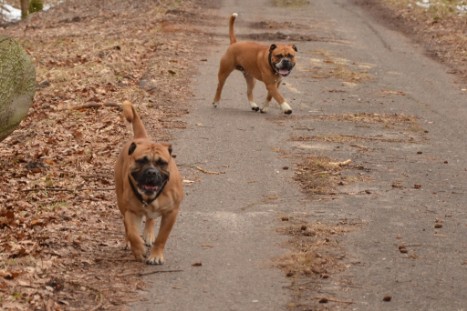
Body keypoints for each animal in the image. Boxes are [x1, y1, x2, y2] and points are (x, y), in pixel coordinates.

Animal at [115, 102, 185, 266]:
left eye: (162, 163)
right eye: (141, 161)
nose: (151, 172)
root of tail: (141, 137)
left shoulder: (171, 213)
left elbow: (162, 237)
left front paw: (156, 255)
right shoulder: (131, 211)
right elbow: (132, 232)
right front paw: (138, 249)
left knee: (151, 218)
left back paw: (148, 234)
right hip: (121, 201)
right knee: (127, 226)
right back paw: (129, 242)